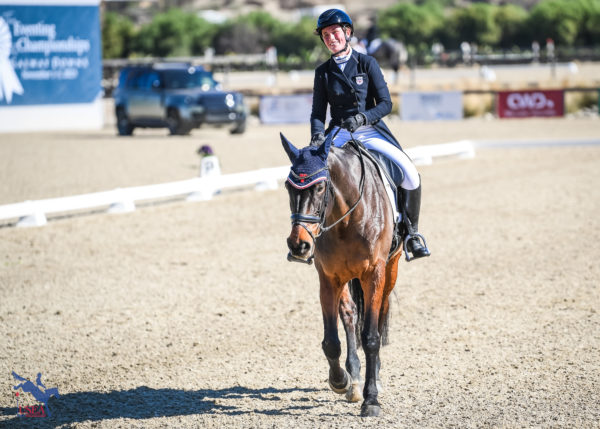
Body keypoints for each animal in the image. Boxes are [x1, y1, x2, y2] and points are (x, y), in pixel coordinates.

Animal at [282, 133, 404, 414]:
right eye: (287, 187)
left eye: (319, 187)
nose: (298, 245)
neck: (346, 218)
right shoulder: (328, 278)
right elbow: (331, 340)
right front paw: (340, 380)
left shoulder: (374, 273)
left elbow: (371, 336)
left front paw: (371, 400)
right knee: (349, 314)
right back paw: (354, 379)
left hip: (390, 269)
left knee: (379, 314)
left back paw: (373, 378)